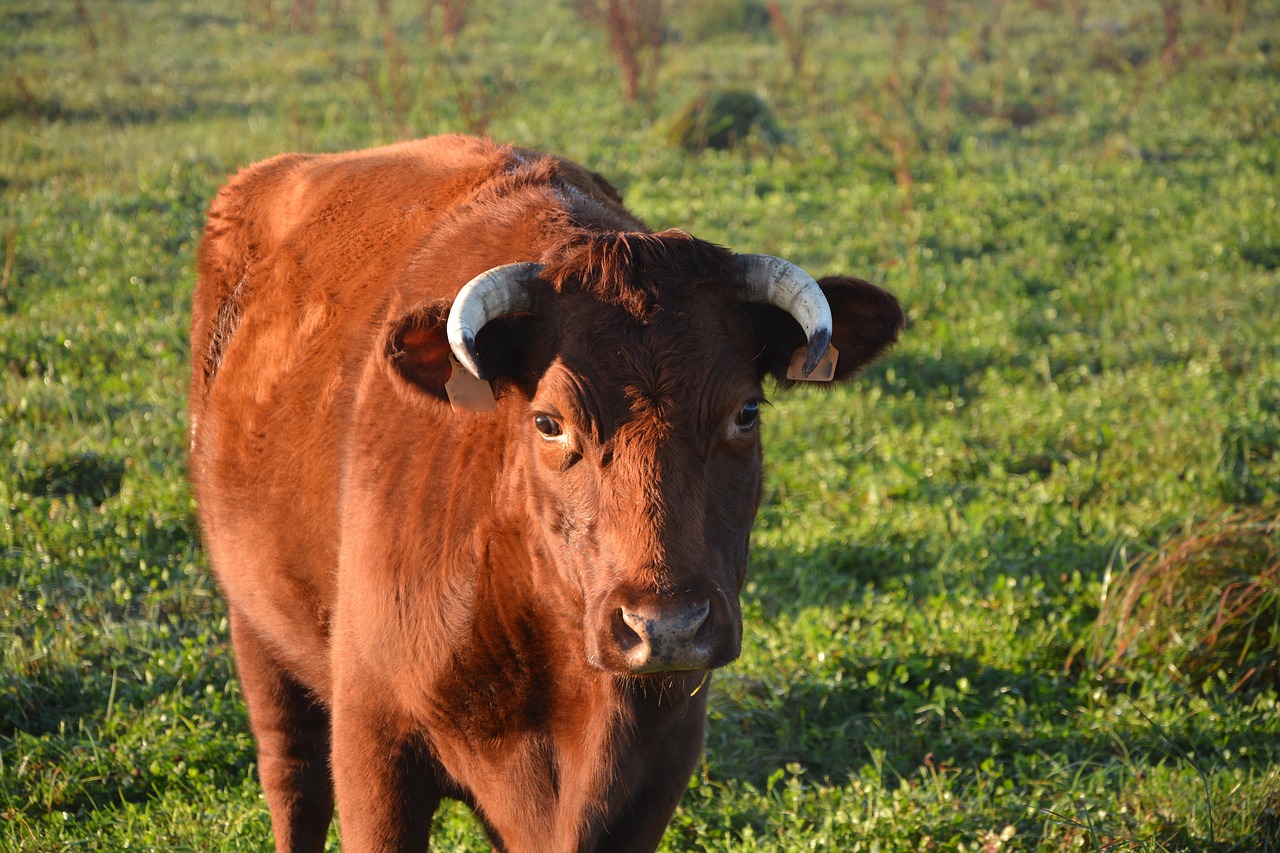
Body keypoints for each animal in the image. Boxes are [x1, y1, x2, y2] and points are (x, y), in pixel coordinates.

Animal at [189, 136, 906, 845]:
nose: (666, 627)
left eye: (746, 412)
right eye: (548, 422)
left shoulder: (661, 762)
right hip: (257, 628)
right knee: (294, 784)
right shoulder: (375, 744)